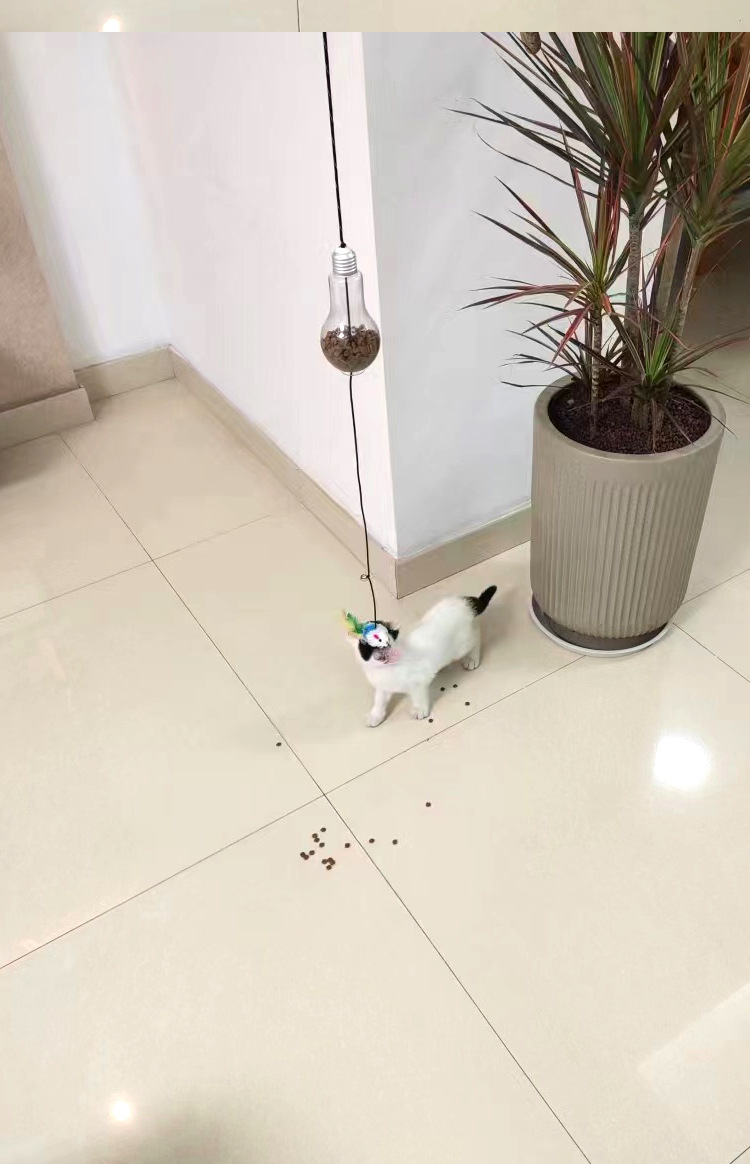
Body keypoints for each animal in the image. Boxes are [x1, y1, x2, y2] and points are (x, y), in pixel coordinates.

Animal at [350, 586, 496, 727]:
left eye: (386, 641)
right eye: (370, 646)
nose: (383, 654)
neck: (387, 670)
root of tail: (464, 602)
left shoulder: (418, 681)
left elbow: (418, 696)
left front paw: (419, 709)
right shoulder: (382, 687)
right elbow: (379, 701)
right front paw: (375, 715)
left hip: (463, 645)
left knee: (476, 637)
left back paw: (472, 658)